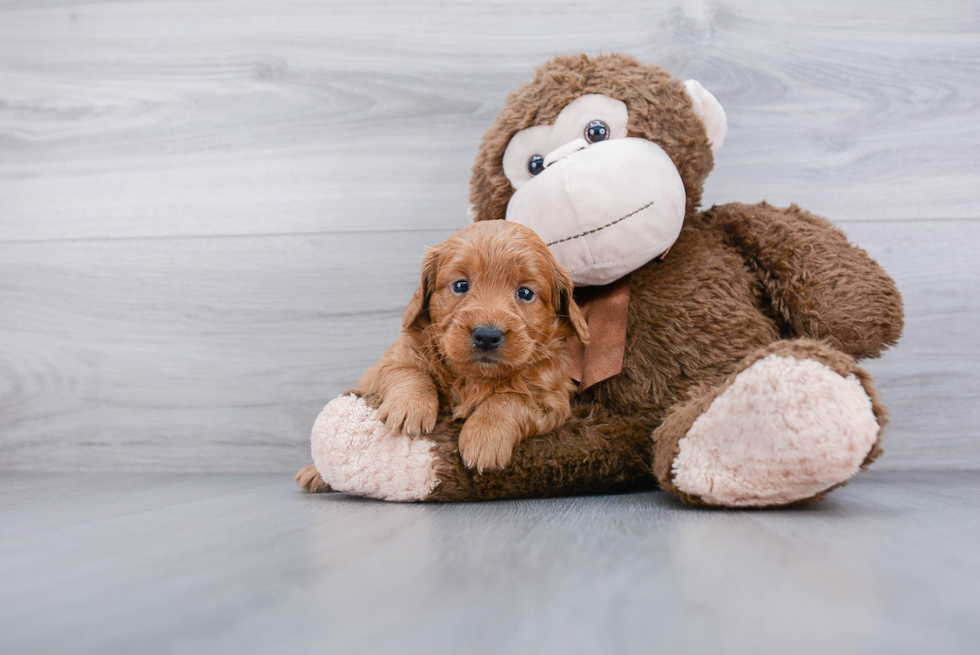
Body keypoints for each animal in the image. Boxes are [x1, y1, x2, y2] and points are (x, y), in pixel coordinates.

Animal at [360, 220, 588, 472]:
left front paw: (486, 437)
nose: (487, 336)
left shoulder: (551, 397)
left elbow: (511, 399)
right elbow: (408, 371)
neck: (476, 377)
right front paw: (409, 407)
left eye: (525, 293)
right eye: (460, 285)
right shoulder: (394, 359)